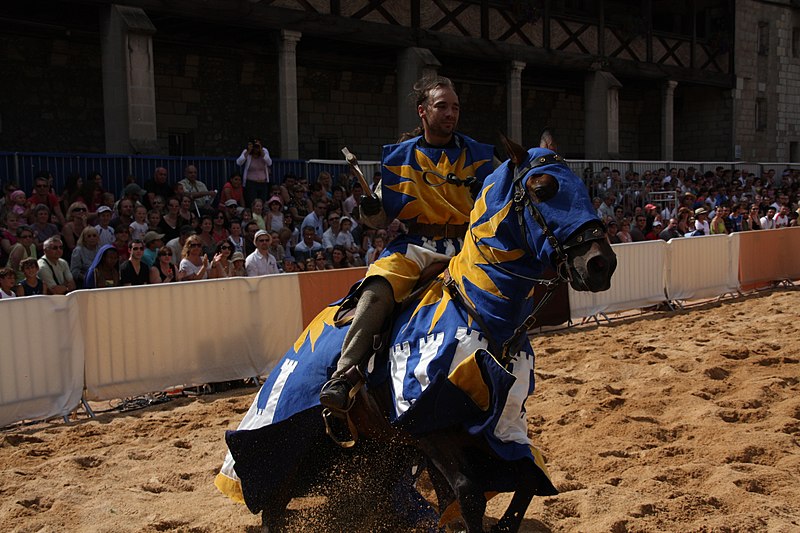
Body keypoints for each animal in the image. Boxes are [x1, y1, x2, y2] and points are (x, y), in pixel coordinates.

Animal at [217, 135, 620, 528]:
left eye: (582, 186)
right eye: (542, 188)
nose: (600, 264)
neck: (481, 307)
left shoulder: (499, 425)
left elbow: (527, 482)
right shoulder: (425, 422)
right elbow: (469, 494)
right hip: (284, 447)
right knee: (271, 508)